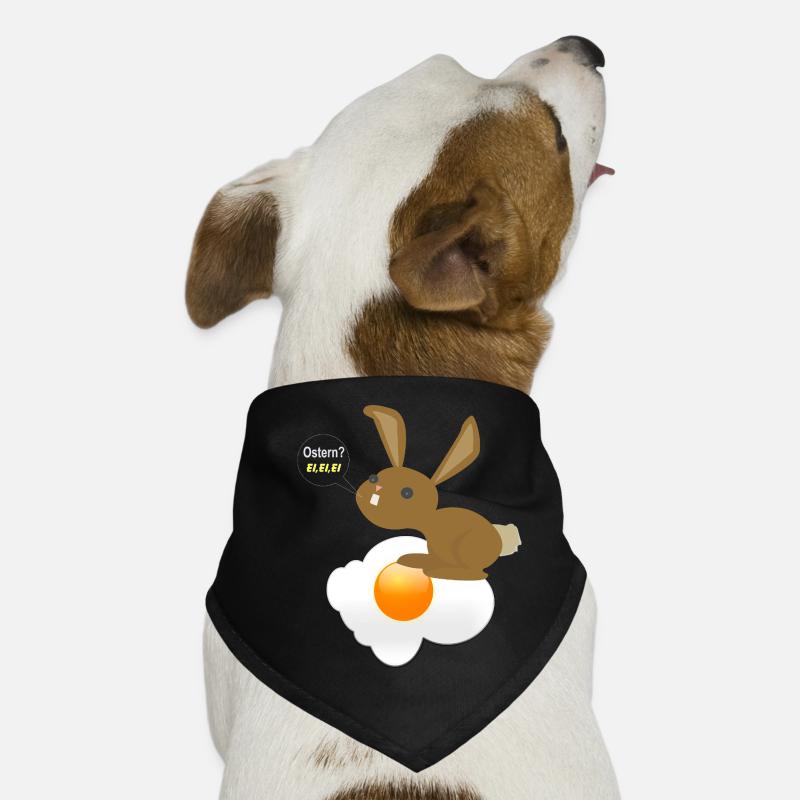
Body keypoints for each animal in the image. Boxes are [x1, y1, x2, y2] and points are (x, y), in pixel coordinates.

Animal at [355, 404, 521, 580]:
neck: (431, 520)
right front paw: (418, 560)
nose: (377, 491)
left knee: (477, 573)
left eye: (407, 493)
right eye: (373, 478)